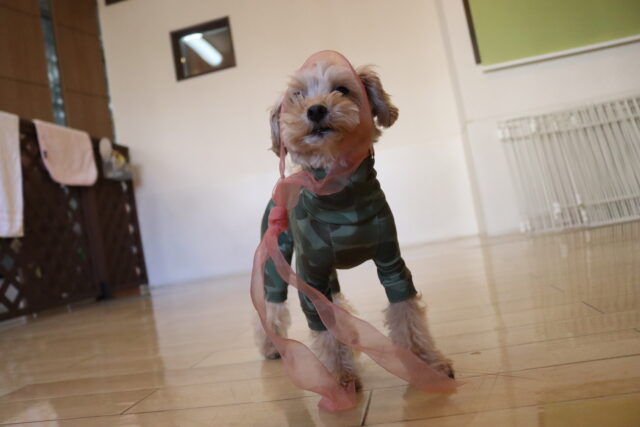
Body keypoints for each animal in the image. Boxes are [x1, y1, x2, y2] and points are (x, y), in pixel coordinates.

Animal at [255, 55, 454, 390]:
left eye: (342, 89)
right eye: (297, 96)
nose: (315, 109)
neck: (340, 196)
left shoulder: (391, 263)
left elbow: (406, 311)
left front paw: (427, 364)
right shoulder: (310, 275)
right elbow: (321, 326)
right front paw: (339, 378)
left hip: (328, 271)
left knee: (334, 299)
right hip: (277, 256)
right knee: (272, 304)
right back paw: (272, 346)